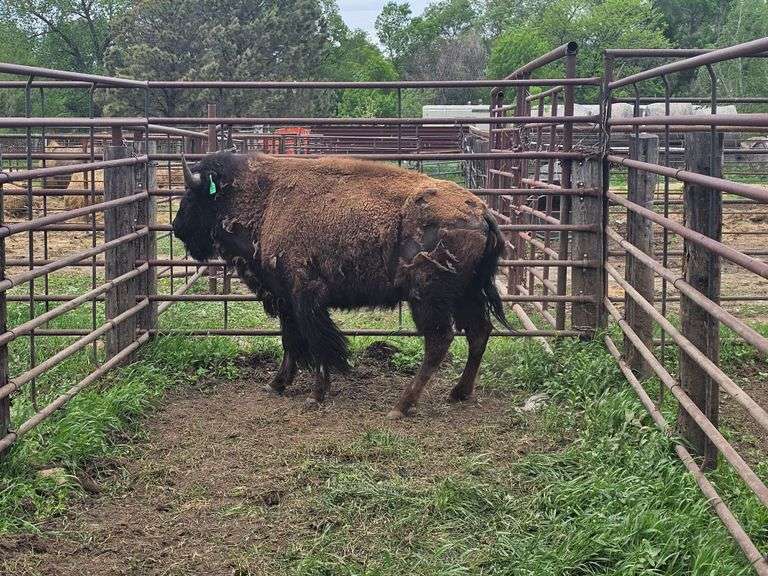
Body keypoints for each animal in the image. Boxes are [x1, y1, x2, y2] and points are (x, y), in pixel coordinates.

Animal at [172, 151, 510, 419]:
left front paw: (315, 395)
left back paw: (401, 406)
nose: (176, 227)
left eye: (191, 195)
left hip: (426, 298)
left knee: (439, 342)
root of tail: (482, 211)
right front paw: (276, 384)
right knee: (479, 332)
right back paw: (458, 393)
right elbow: (290, 341)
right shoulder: (286, 299)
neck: (265, 197)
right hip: (466, 294)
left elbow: (317, 342)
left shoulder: (306, 296)